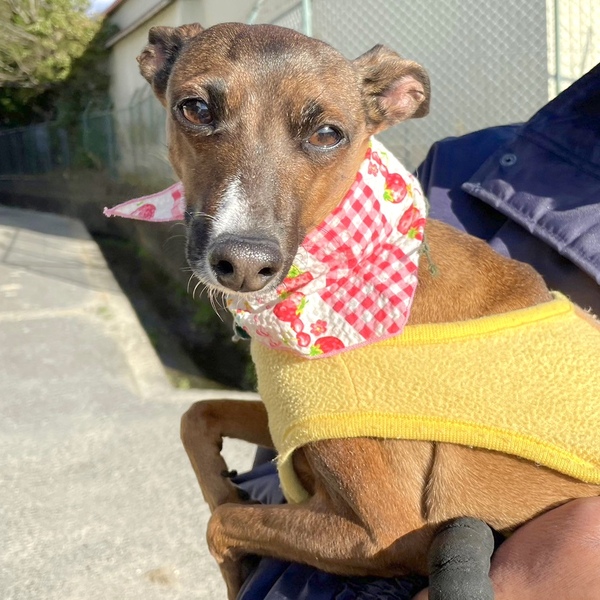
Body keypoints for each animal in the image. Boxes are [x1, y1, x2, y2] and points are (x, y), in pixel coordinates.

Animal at [136, 22, 600, 599]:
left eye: (327, 133)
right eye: (195, 108)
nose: (243, 262)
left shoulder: (386, 531)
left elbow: (222, 523)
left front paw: (234, 562)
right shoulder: (293, 423)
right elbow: (196, 416)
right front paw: (221, 483)